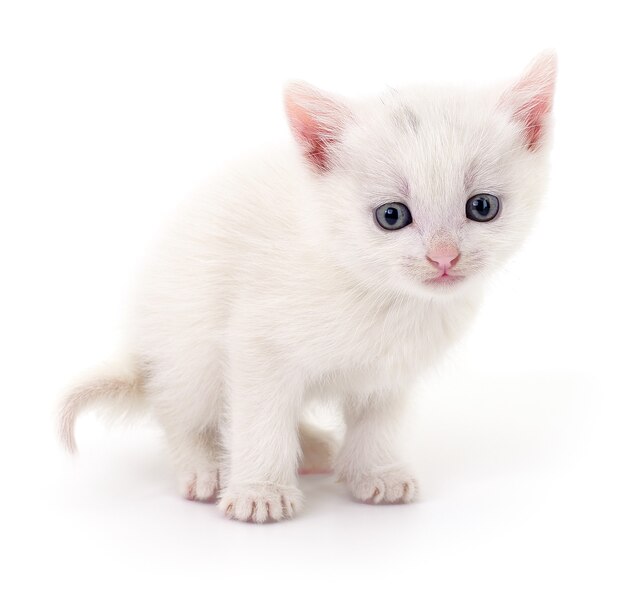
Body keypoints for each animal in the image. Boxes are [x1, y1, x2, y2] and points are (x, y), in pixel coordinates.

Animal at [58, 52, 556, 524]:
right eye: (392, 215)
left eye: (482, 207)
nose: (444, 257)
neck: (382, 296)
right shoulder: (255, 342)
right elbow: (259, 417)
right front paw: (259, 492)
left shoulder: (388, 374)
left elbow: (377, 421)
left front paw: (376, 473)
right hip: (186, 342)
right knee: (179, 408)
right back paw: (204, 466)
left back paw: (312, 447)